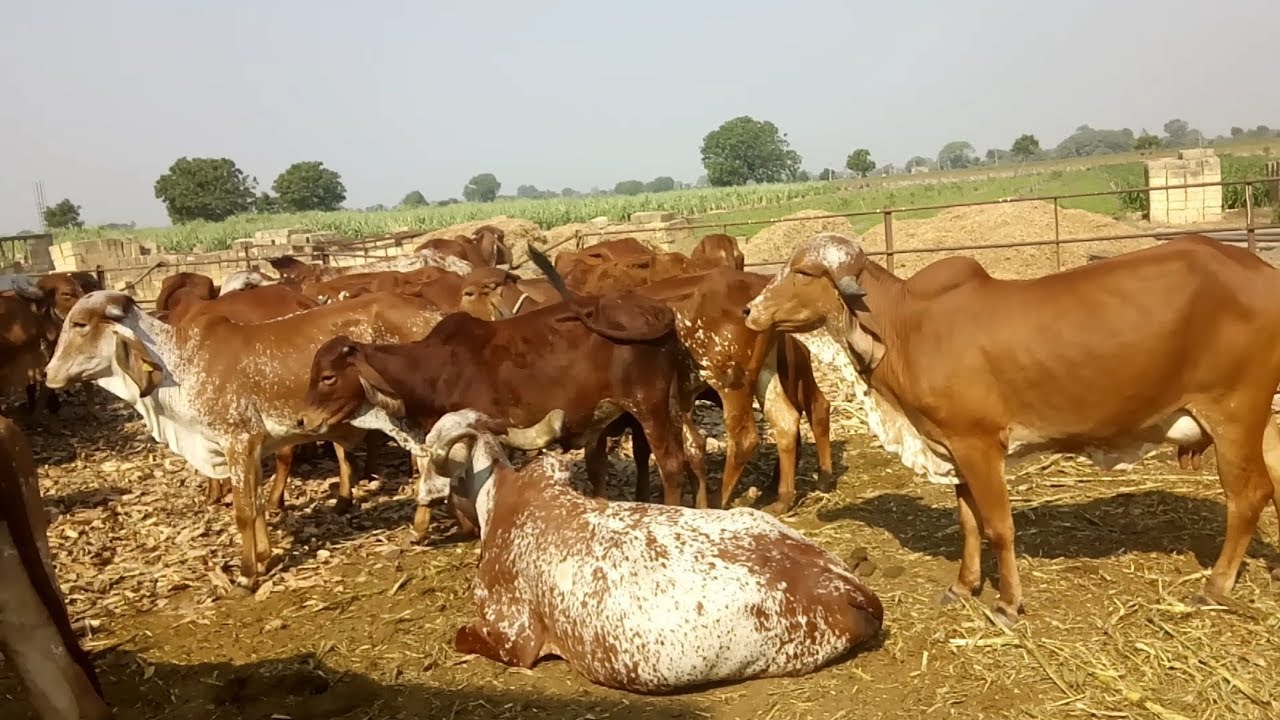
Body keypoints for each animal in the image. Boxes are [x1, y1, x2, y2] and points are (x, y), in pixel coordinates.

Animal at [43, 291, 456, 588]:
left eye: (79, 323)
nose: (48, 374)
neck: (179, 365)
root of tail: (434, 314)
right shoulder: (254, 446)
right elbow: (256, 505)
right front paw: (265, 556)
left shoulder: (236, 440)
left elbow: (242, 511)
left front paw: (246, 573)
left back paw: (422, 527)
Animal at [742, 232, 1280, 625]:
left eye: (804, 272)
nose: (750, 310)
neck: (903, 326)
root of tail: (1263, 272)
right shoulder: (950, 446)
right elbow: (968, 522)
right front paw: (963, 586)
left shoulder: (978, 445)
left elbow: (999, 526)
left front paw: (1006, 603)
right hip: (1259, 420)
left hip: (1233, 414)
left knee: (1248, 496)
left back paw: (1214, 586)